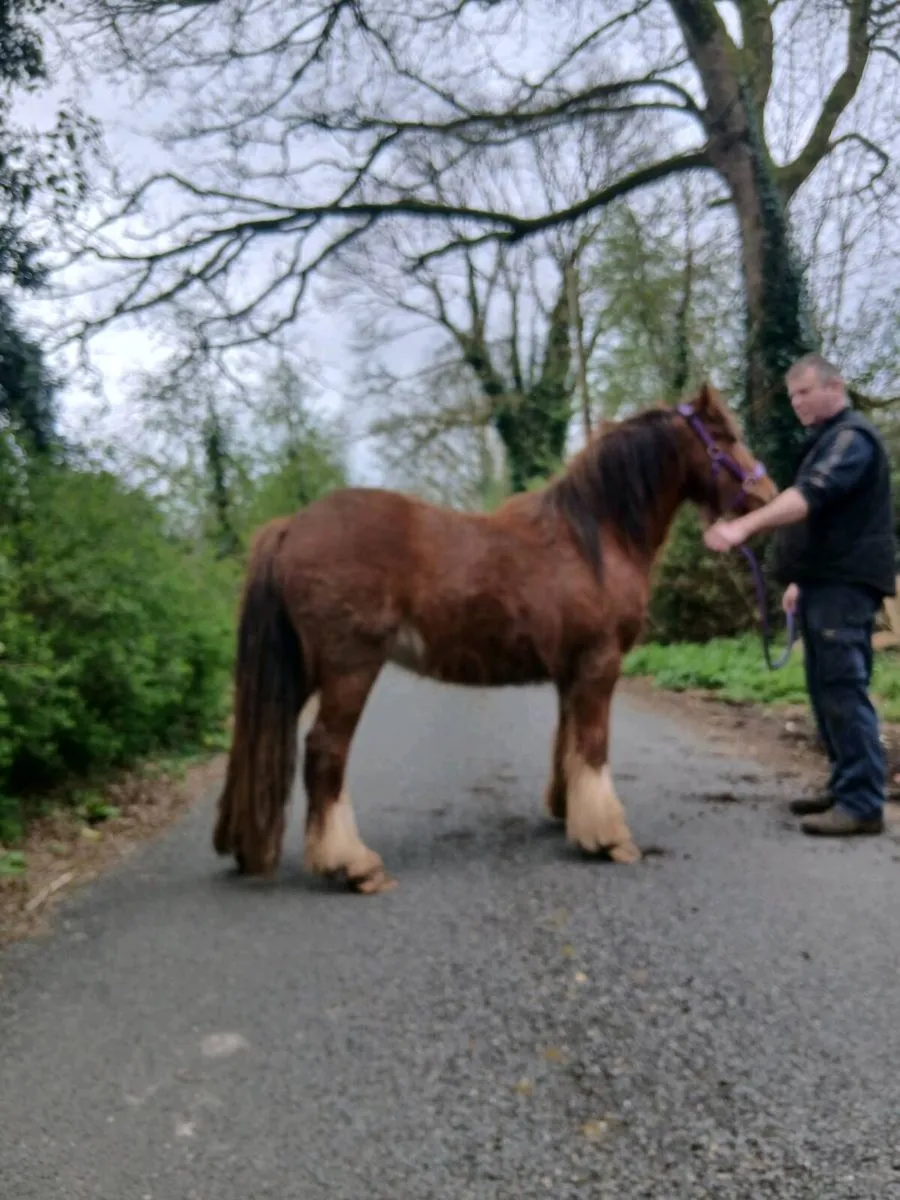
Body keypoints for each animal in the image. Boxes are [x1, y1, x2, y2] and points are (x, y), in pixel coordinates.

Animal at [212, 382, 777, 893]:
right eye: (725, 438)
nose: (768, 495)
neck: (593, 538)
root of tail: (290, 526)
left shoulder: (571, 671)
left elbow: (568, 741)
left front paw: (567, 811)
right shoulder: (600, 662)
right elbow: (593, 745)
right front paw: (608, 837)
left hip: (300, 672)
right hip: (351, 668)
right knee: (325, 751)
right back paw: (353, 865)